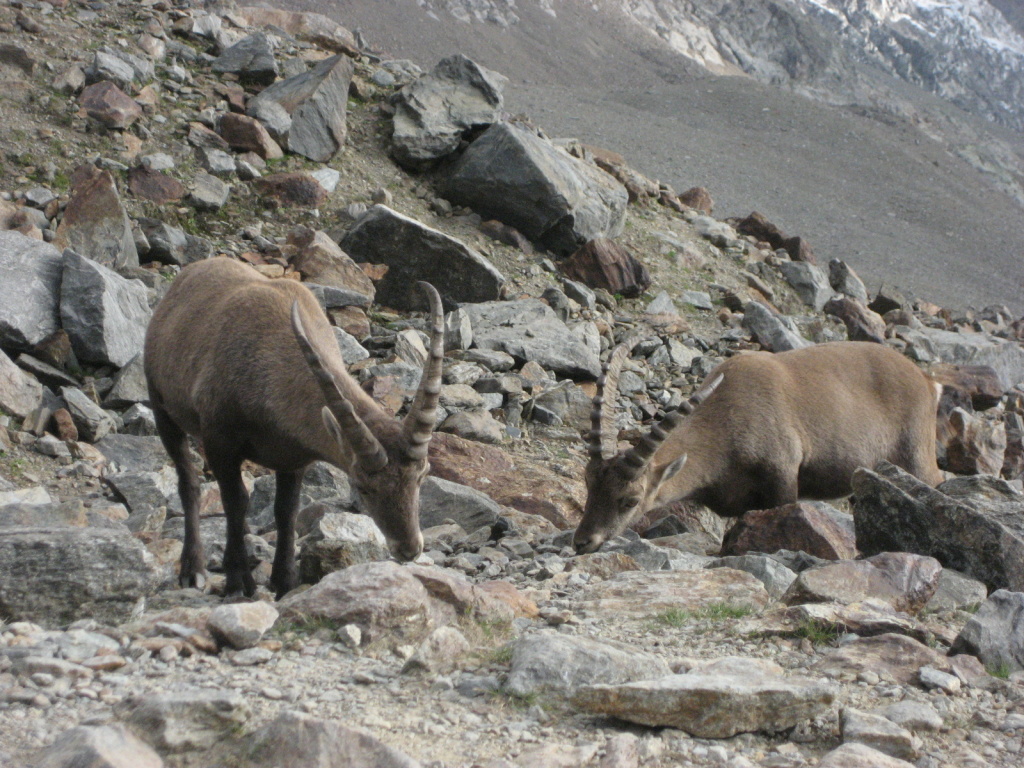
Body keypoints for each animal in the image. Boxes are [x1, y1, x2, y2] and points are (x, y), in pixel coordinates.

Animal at [144, 257, 444, 598]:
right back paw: (193, 569)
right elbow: (235, 502)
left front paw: (284, 580)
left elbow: (286, 510)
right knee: (189, 484)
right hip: (162, 407)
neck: (268, 367)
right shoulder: (219, 441)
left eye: (422, 476)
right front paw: (239, 580)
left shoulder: (293, 458)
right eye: (363, 486)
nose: (409, 549)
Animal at [573, 340, 943, 554]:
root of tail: (927, 381)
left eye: (630, 500)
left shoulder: (783, 477)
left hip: (916, 456)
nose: (582, 541)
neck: (725, 418)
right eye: (589, 484)